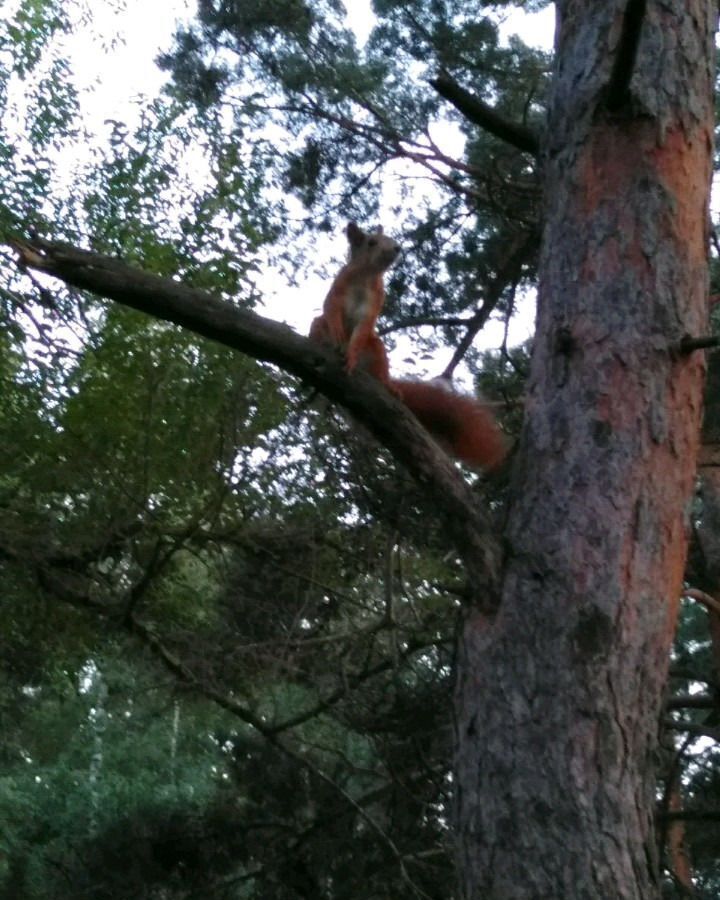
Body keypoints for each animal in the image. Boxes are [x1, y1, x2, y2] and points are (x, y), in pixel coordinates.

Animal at [308, 222, 506, 472]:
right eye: (371, 242)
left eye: (391, 239)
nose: (396, 248)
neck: (366, 276)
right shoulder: (337, 290)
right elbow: (331, 310)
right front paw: (336, 333)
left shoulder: (374, 302)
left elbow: (363, 327)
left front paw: (350, 355)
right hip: (318, 326)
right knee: (318, 325)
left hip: (376, 349)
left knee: (378, 366)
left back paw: (387, 385)